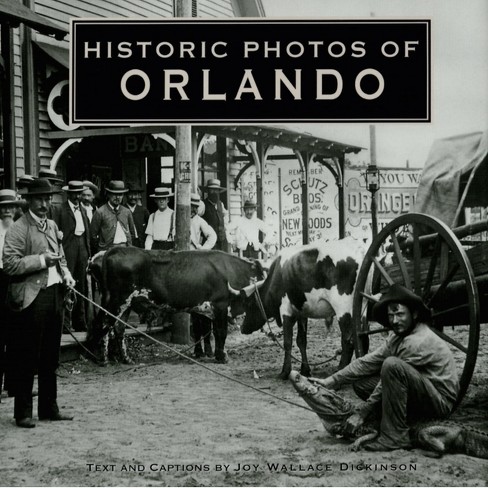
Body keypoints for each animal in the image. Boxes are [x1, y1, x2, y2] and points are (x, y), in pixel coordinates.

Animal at [87, 246, 264, 364]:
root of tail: (113, 250)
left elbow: (207, 331)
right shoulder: (220, 305)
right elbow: (220, 332)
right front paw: (222, 357)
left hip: (125, 305)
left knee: (118, 328)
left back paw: (126, 359)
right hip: (115, 301)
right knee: (102, 324)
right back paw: (102, 359)